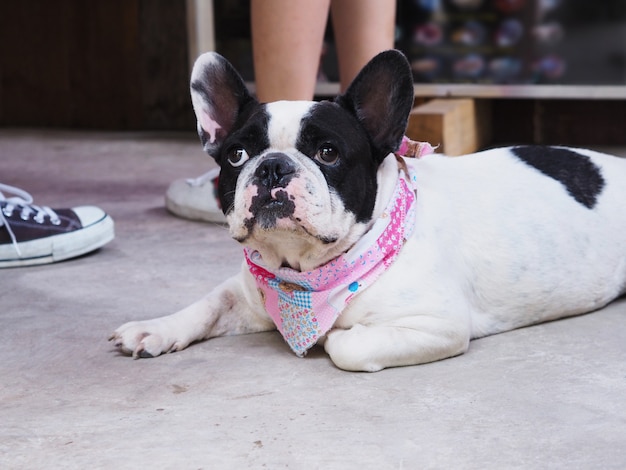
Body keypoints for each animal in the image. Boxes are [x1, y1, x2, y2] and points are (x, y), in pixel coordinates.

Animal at [111, 50, 624, 370]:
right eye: (236, 156)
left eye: (328, 153)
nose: (273, 166)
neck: (305, 274)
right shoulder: (244, 292)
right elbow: (208, 304)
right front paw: (155, 329)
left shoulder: (438, 324)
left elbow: (347, 346)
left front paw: (332, 335)